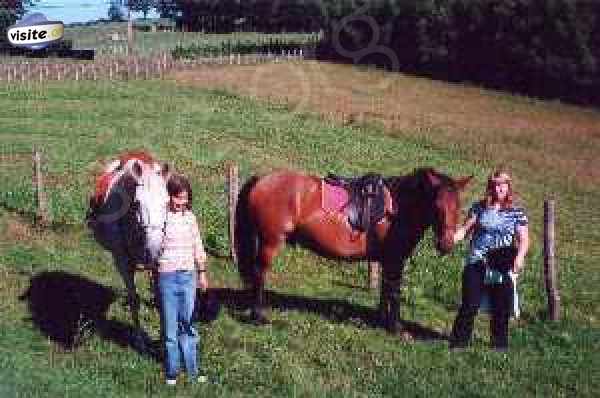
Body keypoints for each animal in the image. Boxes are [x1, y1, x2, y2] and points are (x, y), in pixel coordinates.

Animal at [84, 151, 170, 346]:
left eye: (167, 202)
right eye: (137, 203)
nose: (154, 250)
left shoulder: (157, 265)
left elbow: (161, 300)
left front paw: (163, 339)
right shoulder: (122, 261)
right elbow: (134, 299)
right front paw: (140, 341)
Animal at [232, 168, 472, 332]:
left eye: (459, 207)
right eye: (437, 206)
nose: (446, 244)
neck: (397, 208)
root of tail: (261, 179)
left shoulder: (387, 260)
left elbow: (385, 290)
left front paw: (380, 320)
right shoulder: (396, 261)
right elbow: (394, 292)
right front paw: (396, 328)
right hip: (271, 242)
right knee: (260, 273)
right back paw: (258, 315)